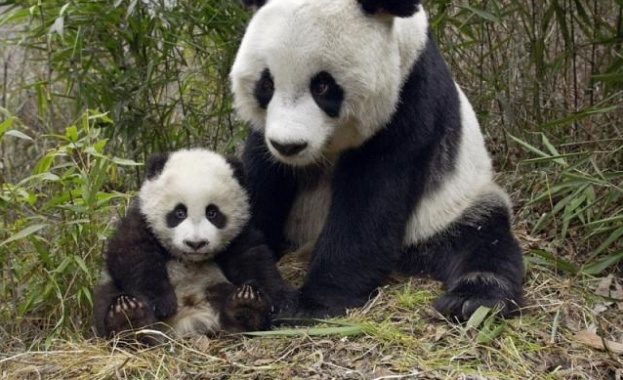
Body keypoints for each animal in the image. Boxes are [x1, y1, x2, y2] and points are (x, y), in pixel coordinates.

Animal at [93, 147, 294, 340]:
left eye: (212, 212)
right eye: (179, 212)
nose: (195, 244)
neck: (189, 259)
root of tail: (187, 321)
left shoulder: (239, 233)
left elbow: (254, 259)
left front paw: (281, 300)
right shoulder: (141, 220)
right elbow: (131, 254)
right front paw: (161, 302)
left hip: (213, 286)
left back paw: (246, 307)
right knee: (107, 297)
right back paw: (127, 318)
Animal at [232, 0, 524, 320]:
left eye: (322, 86)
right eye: (267, 84)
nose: (288, 146)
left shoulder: (410, 100)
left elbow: (370, 202)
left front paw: (312, 304)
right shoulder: (265, 137)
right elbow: (260, 181)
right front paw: (254, 286)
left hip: (451, 208)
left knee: (483, 240)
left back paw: (471, 299)